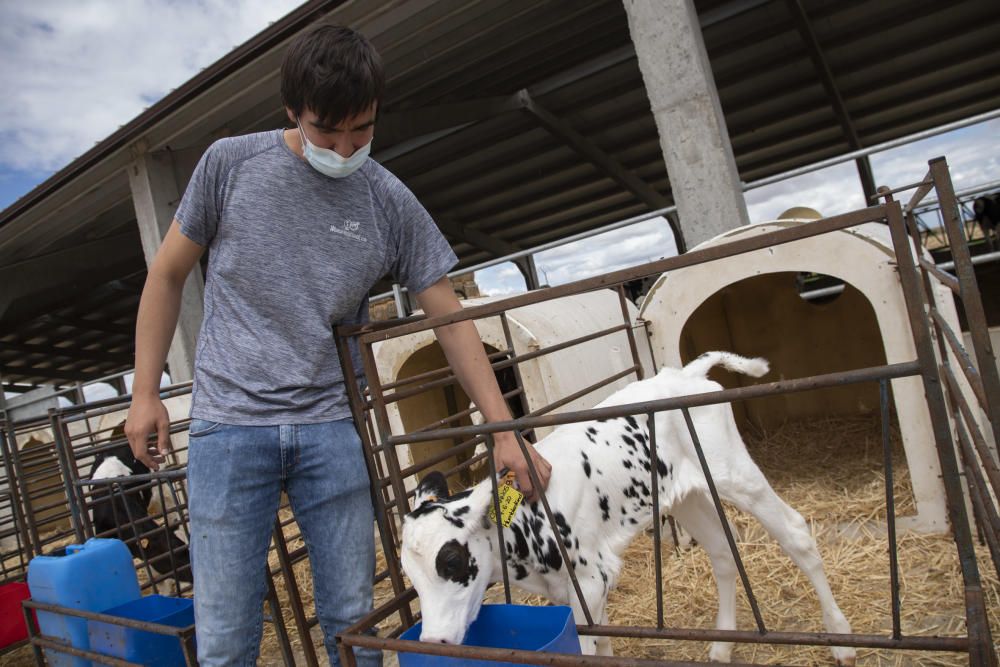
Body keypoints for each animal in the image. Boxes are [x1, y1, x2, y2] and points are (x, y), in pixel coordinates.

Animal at [402, 352, 856, 664]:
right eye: (411, 575)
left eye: (452, 560)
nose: (434, 642)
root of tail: (683, 373)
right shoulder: (575, 595)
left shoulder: (591, 580)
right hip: (687, 495)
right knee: (723, 553)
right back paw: (722, 645)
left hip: (734, 472)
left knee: (794, 532)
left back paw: (840, 640)